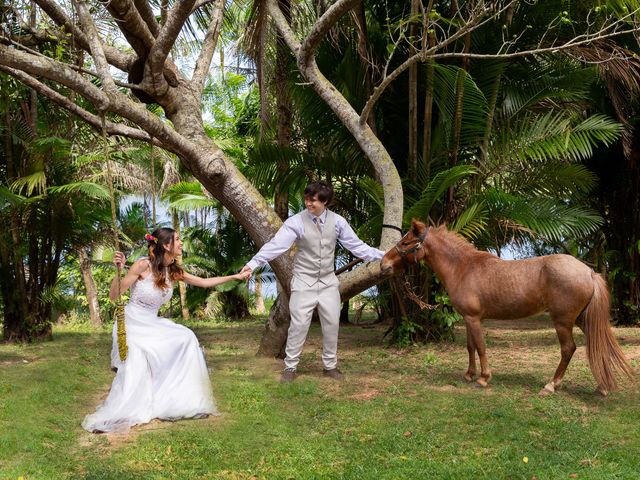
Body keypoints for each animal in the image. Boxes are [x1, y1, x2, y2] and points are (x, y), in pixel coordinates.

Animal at [380, 219, 636, 396]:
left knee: (568, 349)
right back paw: (601, 386)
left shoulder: (474, 318)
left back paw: (551, 385)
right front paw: (469, 374)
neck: (463, 268)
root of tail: (588, 271)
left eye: (405, 243)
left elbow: (481, 347)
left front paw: (484, 378)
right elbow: (470, 347)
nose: (383, 265)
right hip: (582, 319)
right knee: (596, 343)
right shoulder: (469, 318)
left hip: (563, 322)